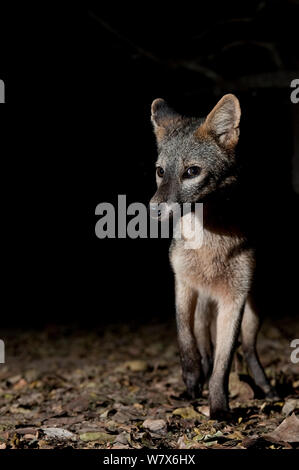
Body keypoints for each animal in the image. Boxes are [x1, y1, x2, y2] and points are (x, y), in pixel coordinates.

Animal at [151, 93, 280, 420]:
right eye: (160, 171)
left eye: (191, 172)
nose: (154, 209)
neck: (209, 248)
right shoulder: (184, 283)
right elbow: (186, 339)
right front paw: (192, 379)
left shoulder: (233, 299)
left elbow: (224, 361)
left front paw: (219, 407)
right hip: (205, 304)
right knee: (203, 340)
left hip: (255, 308)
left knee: (247, 347)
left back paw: (266, 388)